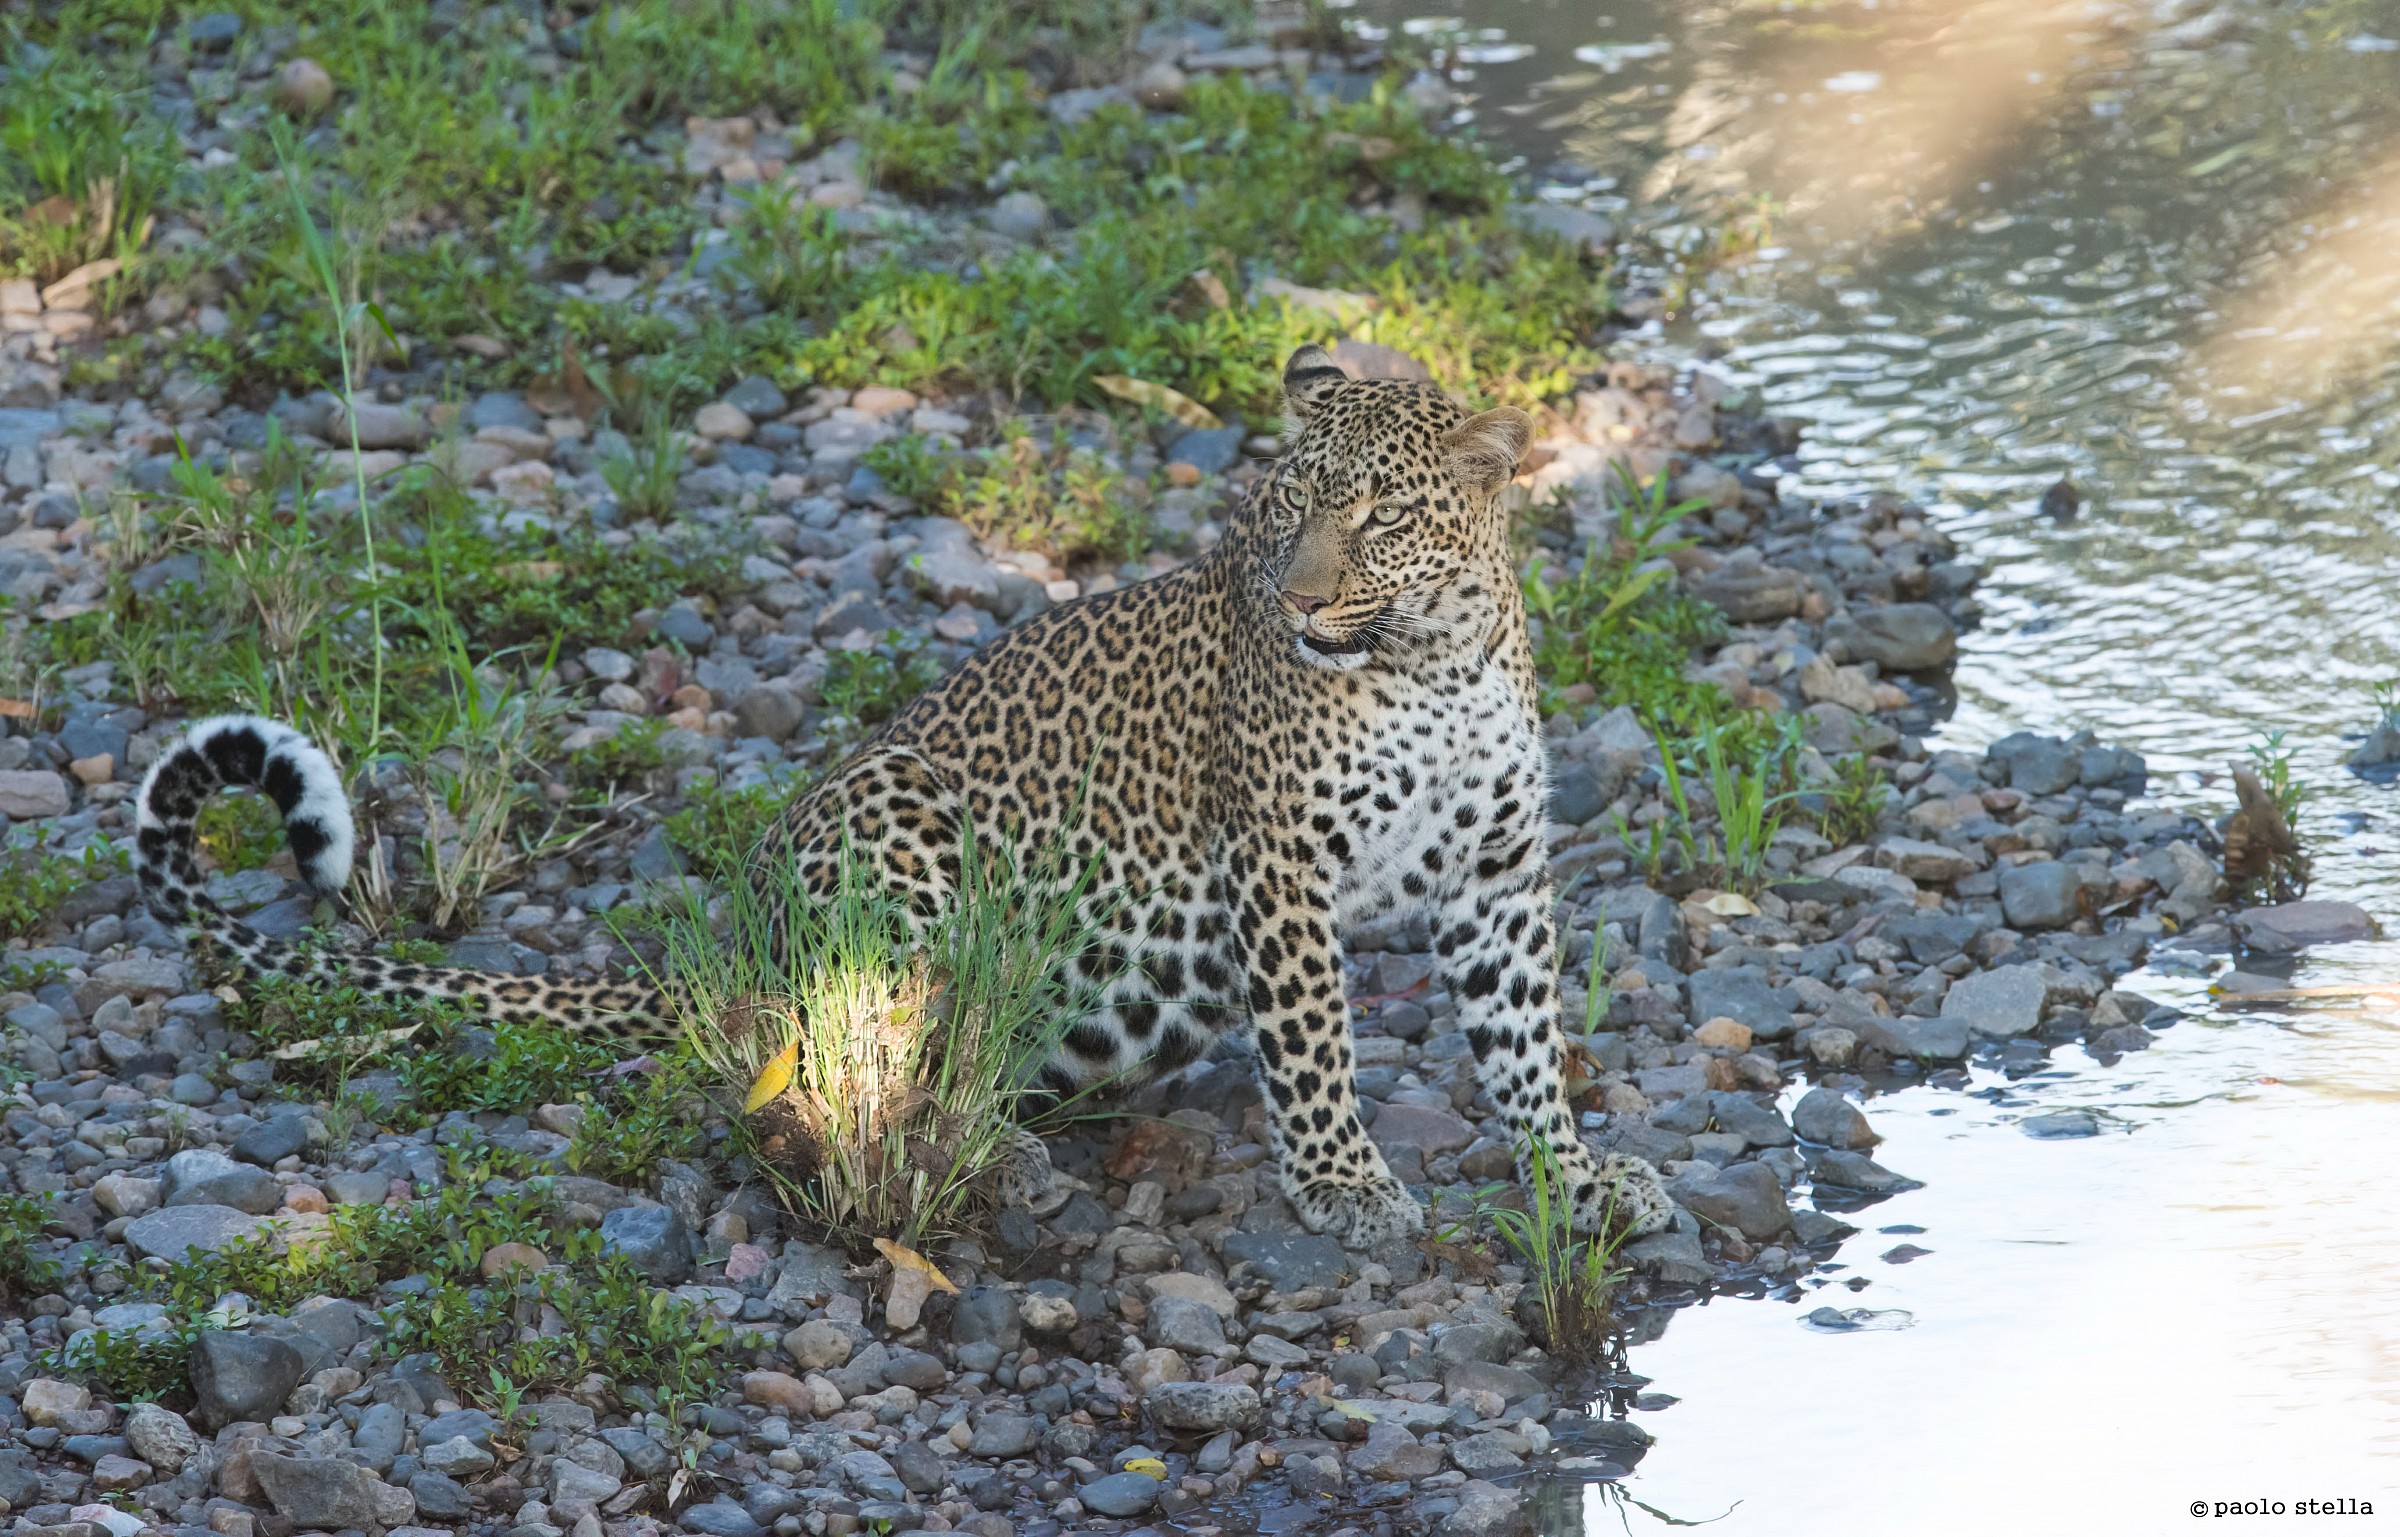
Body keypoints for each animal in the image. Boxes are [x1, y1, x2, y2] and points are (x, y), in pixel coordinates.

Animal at [135, 345, 1674, 1249]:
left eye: (1377, 516)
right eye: (1284, 512)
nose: (1296, 600)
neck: (1432, 656)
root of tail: (741, 928)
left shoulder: (1497, 872)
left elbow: (1525, 1039)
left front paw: (1576, 1171)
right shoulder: (1282, 866)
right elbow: (1313, 1043)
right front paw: (1344, 1181)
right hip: (896, 818)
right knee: (834, 1047)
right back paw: (987, 1149)